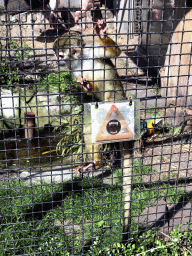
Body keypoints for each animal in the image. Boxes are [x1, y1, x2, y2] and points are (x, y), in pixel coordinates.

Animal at [53, 19, 124, 172]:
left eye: (60, 55)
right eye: (55, 55)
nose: (56, 61)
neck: (79, 60)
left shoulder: (90, 51)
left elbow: (114, 52)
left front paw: (101, 34)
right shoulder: (72, 70)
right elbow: (86, 88)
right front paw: (86, 87)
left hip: (117, 97)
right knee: (90, 129)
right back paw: (95, 164)